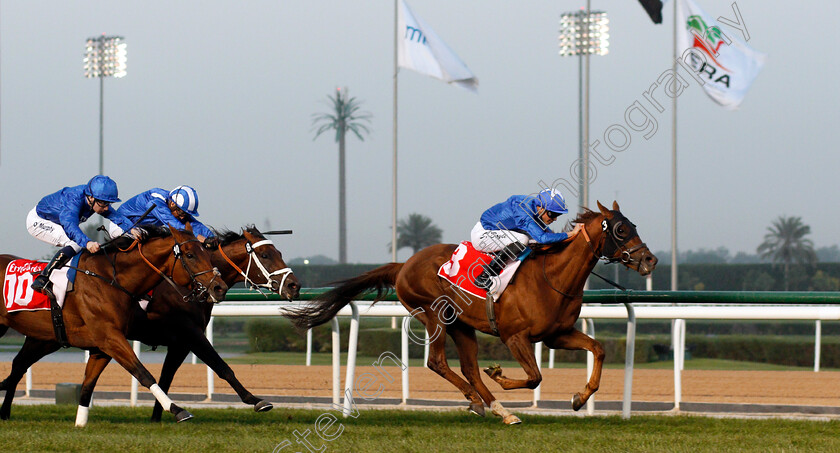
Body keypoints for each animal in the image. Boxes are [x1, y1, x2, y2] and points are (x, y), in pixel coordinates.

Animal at [0, 226, 300, 424]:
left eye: (278, 251)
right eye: (267, 256)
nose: (294, 286)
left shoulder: (177, 343)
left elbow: (165, 378)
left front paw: (157, 417)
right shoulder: (189, 335)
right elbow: (221, 367)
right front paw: (257, 401)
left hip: (46, 336)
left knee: (18, 365)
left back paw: (5, 411)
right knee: (18, 366)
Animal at [288, 201, 656, 424]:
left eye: (634, 225)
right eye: (621, 229)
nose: (650, 260)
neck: (552, 277)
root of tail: (403, 265)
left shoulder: (556, 335)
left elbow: (599, 348)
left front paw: (580, 398)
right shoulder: (514, 336)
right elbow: (534, 376)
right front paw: (501, 375)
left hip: (462, 325)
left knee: (469, 368)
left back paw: (496, 408)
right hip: (434, 315)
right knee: (438, 362)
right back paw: (477, 399)